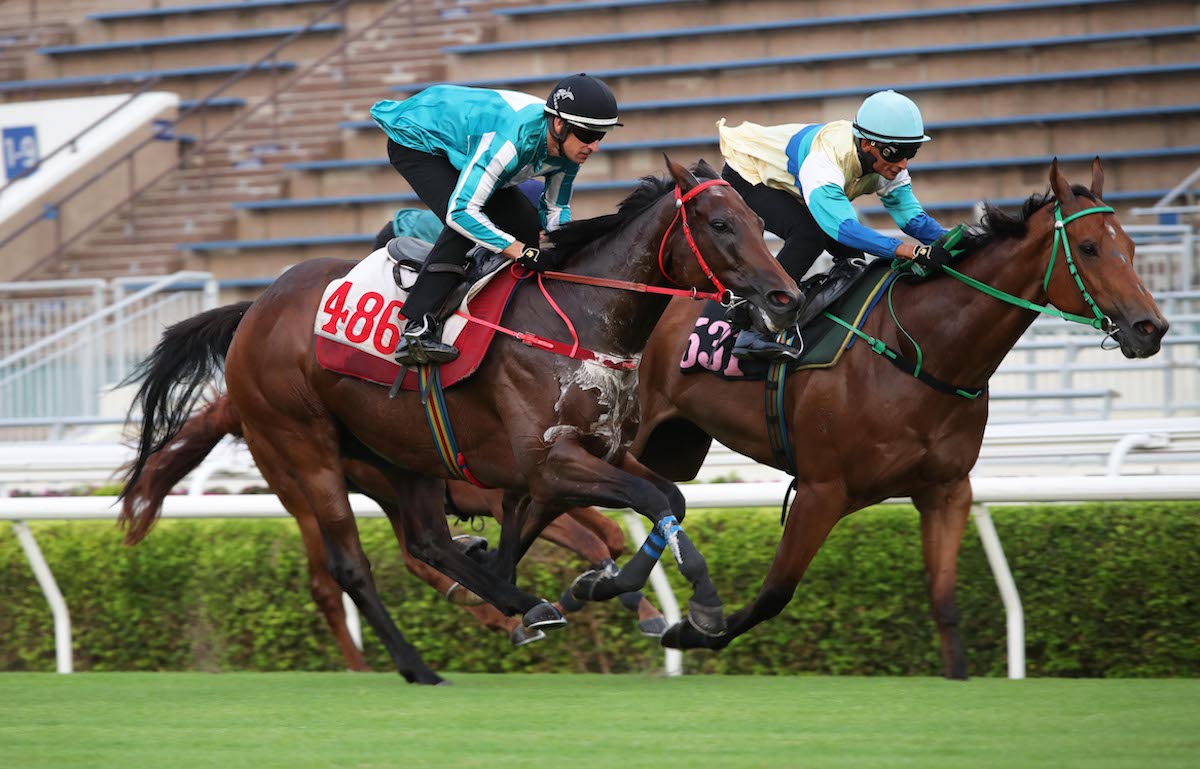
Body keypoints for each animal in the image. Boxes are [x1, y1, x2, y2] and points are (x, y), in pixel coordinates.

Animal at [119, 393, 667, 667]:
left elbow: (606, 533)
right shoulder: (504, 490)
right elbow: (591, 538)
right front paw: (644, 613)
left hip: (384, 488)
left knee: (414, 553)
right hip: (307, 491)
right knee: (327, 583)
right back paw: (364, 664)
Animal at [624, 158, 1166, 676]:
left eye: (1131, 245)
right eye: (1090, 247)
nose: (1152, 327)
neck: (924, 351)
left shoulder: (946, 491)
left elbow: (945, 603)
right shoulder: (821, 490)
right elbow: (773, 594)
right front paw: (689, 629)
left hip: (671, 447)